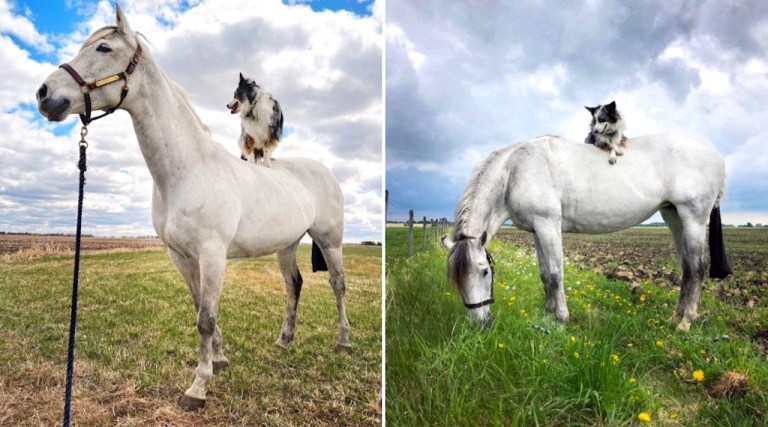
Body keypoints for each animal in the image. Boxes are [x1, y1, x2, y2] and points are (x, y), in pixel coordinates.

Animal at [36, 4, 351, 411]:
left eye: (104, 48)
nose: (45, 94)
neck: (188, 171)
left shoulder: (212, 254)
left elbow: (206, 317)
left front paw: (198, 387)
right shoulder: (182, 257)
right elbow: (200, 307)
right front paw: (218, 359)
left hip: (329, 241)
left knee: (337, 284)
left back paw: (344, 342)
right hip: (287, 244)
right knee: (293, 284)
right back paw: (284, 340)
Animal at [441, 134, 731, 332]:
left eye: (484, 272)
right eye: (456, 279)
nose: (479, 323)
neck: (516, 169)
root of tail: (715, 155)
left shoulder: (548, 224)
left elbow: (555, 274)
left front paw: (560, 320)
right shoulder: (537, 229)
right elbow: (544, 274)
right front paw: (547, 316)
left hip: (694, 217)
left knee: (698, 266)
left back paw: (686, 322)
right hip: (673, 216)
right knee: (687, 267)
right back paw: (675, 317)